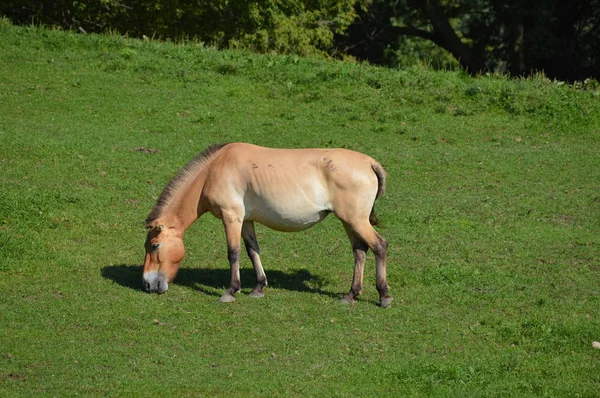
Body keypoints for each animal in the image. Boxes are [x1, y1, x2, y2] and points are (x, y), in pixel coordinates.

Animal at [141, 143, 394, 308]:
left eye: (154, 246)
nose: (147, 284)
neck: (213, 170)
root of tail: (369, 163)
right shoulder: (246, 220)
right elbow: (253, 251)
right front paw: (258, 288)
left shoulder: (231, 217)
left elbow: (233, 253)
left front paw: (231, 291)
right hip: (349, 221)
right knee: (360, 251)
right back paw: (351, 295)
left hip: (356, 221)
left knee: (380, 246)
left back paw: (384, 296)